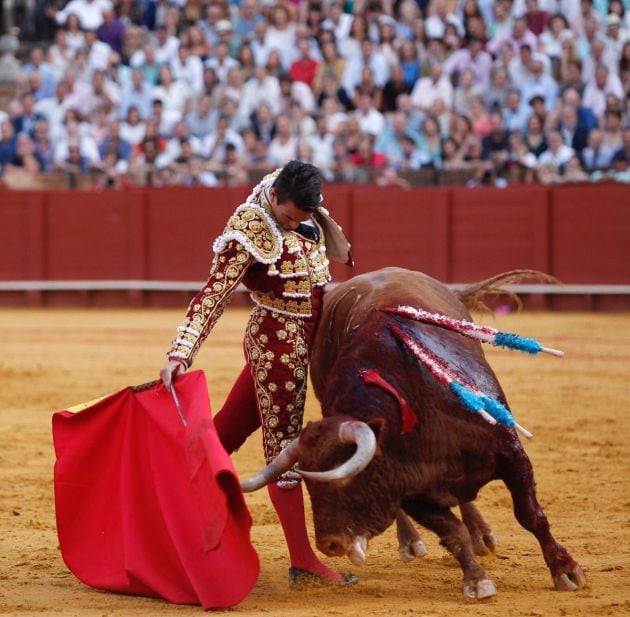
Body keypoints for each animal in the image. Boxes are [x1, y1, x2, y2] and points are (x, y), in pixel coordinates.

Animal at [242, 268, 588, 596]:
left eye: (346, 479)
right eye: (310, 487)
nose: (329, 545)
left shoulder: (512, 454)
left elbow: (530, 515)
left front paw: (566, 571)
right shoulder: (408, 488)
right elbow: (452, 533)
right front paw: (477, 581)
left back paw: (482, 534)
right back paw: (412, 541)